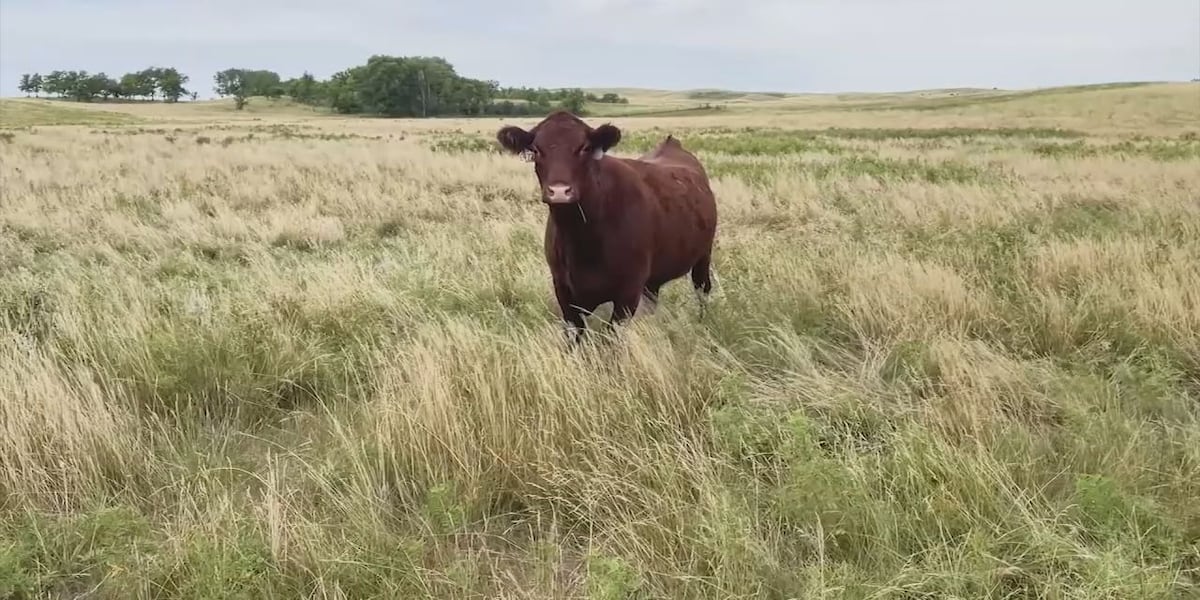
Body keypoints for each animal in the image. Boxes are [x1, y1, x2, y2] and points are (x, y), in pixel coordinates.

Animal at [495, 110, 718, 343]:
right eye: (536, 150)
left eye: (584, 148)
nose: (559, 191)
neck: (581, 237)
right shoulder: (563, 290)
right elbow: (575, 336)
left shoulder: (628, 292)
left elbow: (611, 338)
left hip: (703, 255)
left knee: (702, 288)